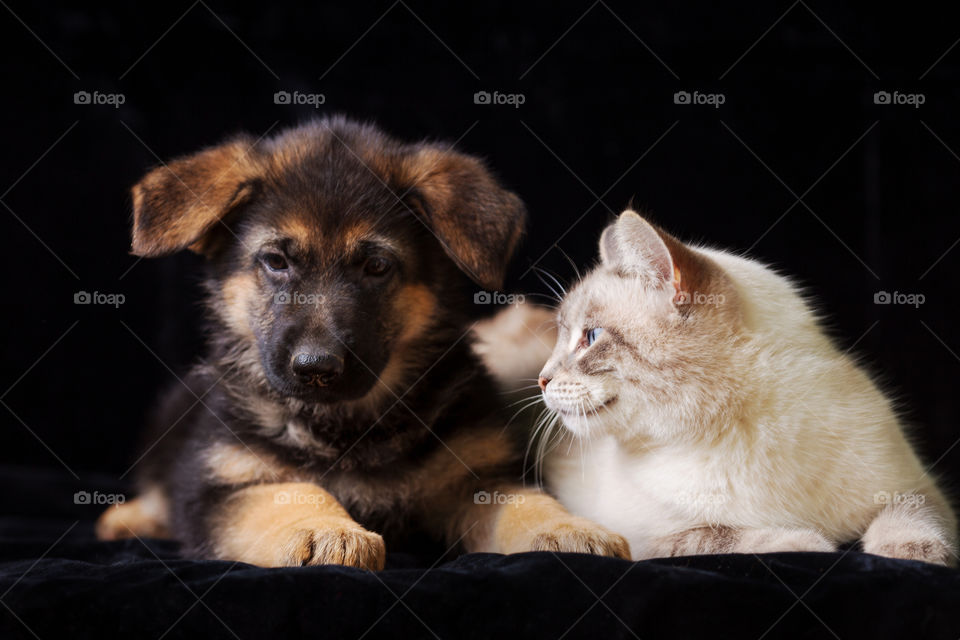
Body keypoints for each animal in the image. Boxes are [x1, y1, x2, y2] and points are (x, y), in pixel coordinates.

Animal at [94, 117, 628, 568]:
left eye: (376, 266)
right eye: (275, 261)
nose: (315, 367)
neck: (348, 427)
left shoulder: (478, 478)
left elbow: (525, 505)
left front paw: (572, 529)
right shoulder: (224, 483)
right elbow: (291, 494)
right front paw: (324, 530)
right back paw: (126, 519)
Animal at [528, 210, 956, 564]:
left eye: (591, 336)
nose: (542, 379)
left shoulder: (914, 486)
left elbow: (910, 516)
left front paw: (910, 553)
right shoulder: (649, 540)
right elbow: (731, 536)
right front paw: (810, 542)